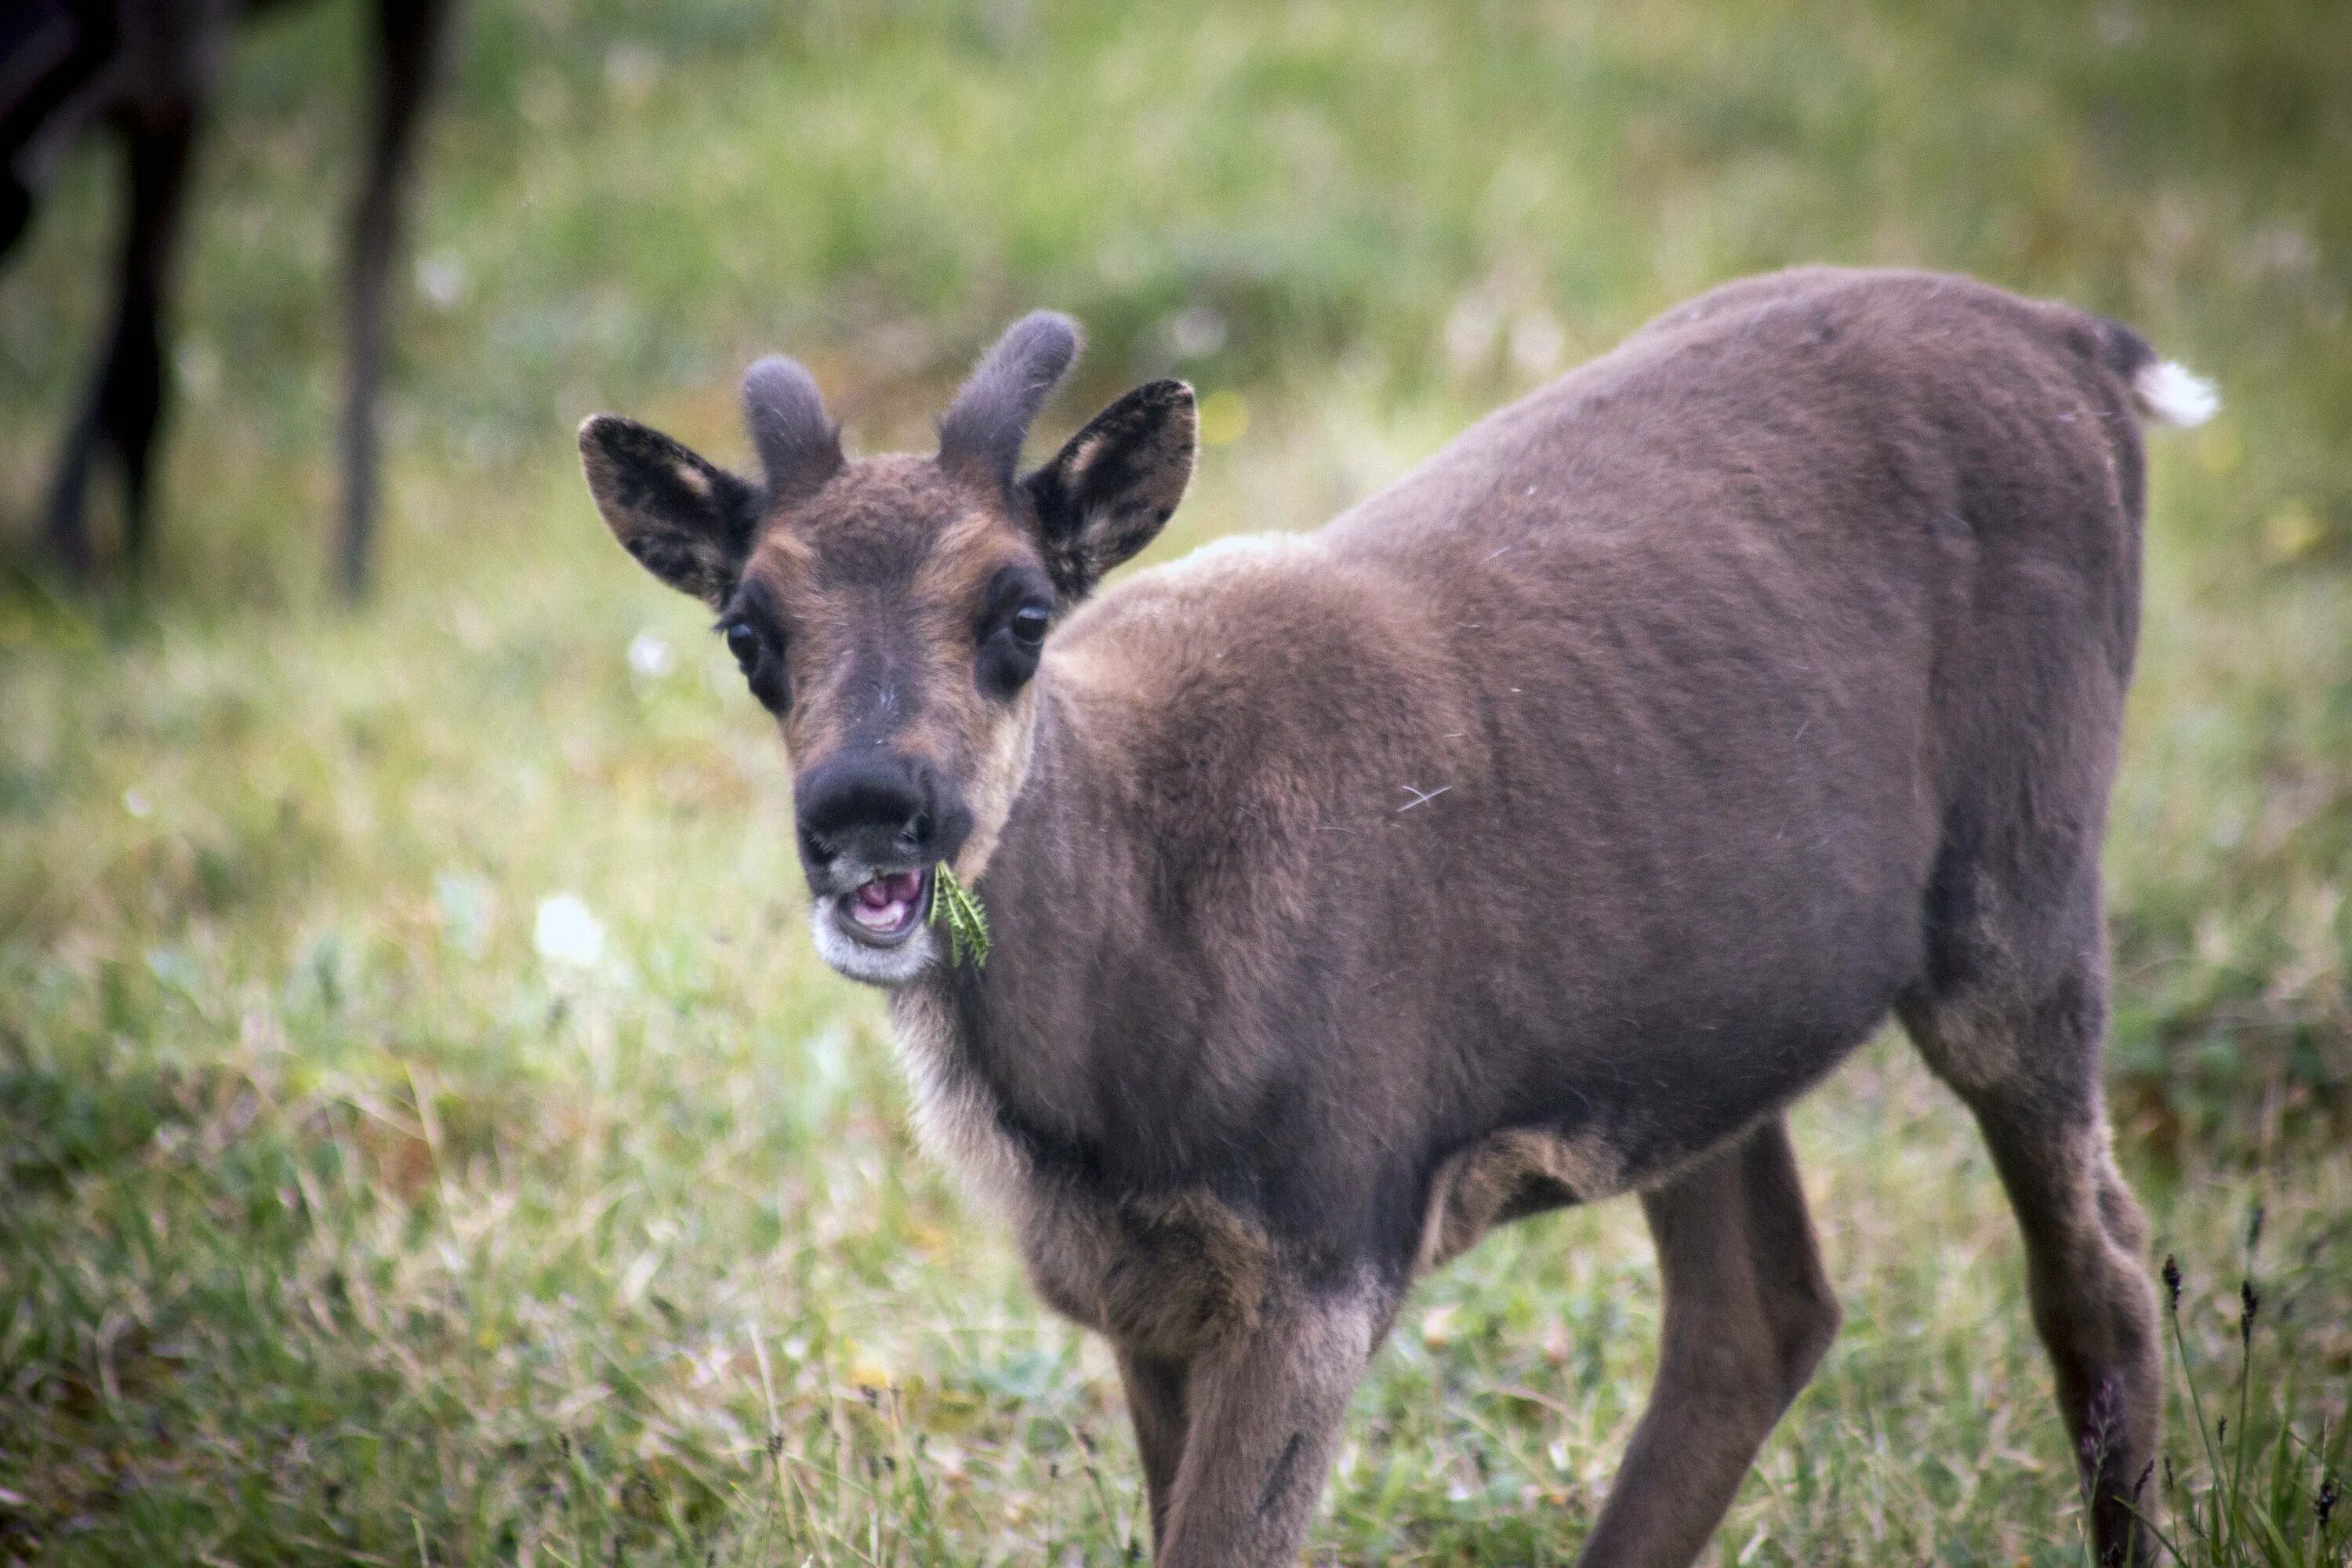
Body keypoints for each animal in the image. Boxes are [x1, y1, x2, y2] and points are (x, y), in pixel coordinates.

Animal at [579, 272, 2211, 1568]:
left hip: (2021, 899)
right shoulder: (1142, 1294)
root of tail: (2083, 347)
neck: (1106, 1067)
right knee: (1761, 1314)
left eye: (1024, 613)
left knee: (2103, 1270)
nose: (869, 810)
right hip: (1706, 1022)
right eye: (750, 634)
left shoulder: (1327, 1243)